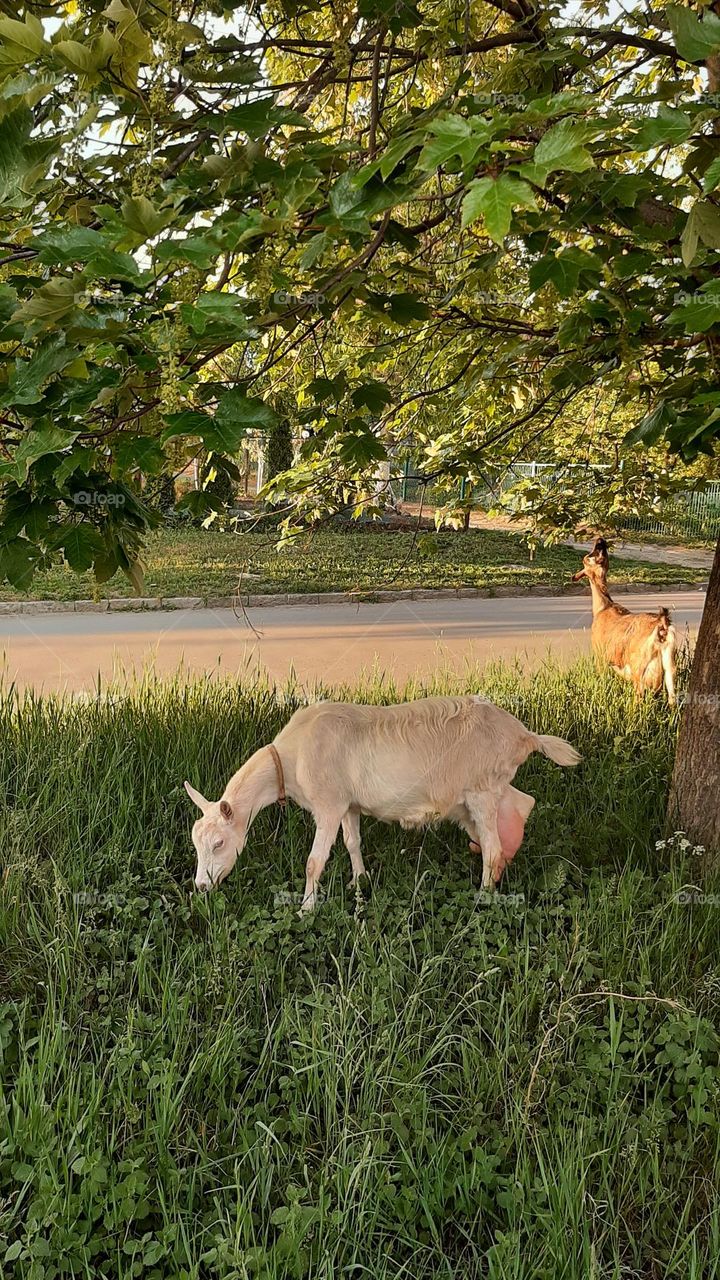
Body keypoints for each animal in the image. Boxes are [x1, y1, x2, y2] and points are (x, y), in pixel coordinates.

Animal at [184, 691, 576, 911]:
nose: (201, 887)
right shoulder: (348, 804)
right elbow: (352, 841)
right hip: (487, 790)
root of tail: (522, 734)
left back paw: (484, 895)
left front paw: (306, 909)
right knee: (522, 803)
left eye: (219, 843)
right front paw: (360, 881)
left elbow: (314, 862)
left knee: (493, 846)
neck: (292, 756)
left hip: (481, 789)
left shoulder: (328, 805)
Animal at [571, 537, 671, 706]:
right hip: (665, 673)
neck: (603, 607)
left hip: (640, 672)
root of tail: (661, 627)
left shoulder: (601, 657)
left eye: (588, 557)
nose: (600, 540)